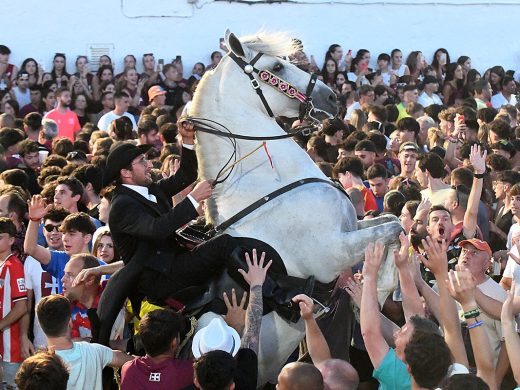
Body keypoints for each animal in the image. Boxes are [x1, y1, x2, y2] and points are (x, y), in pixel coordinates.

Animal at [190, 30, 402, 384]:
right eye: (277, 66)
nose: (332, 97)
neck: (267, 181)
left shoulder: (353, 227)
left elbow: (391, 222)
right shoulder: (333, 251)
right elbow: (394, 228)